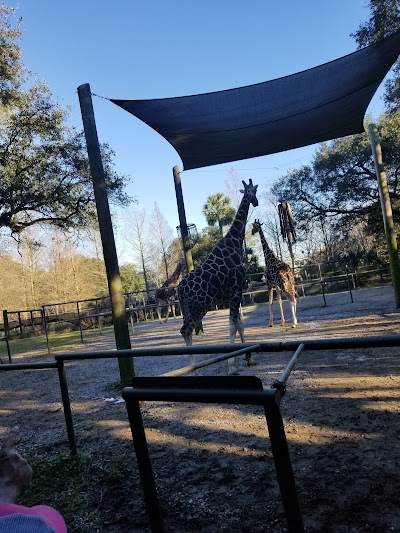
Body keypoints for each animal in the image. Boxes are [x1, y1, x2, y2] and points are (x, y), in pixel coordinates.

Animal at [178, 179, 260, 374]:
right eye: (254, 192)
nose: (256, 202)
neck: (235, 242)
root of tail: (179, 289)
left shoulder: (234, 294)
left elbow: (240, 325)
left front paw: (248, 358)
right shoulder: (236, 291)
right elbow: (232, 326)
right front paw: (232, 366)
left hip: (188, 308)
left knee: (185, 330)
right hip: (200, 306)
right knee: (186, 330)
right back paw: (195, 371)